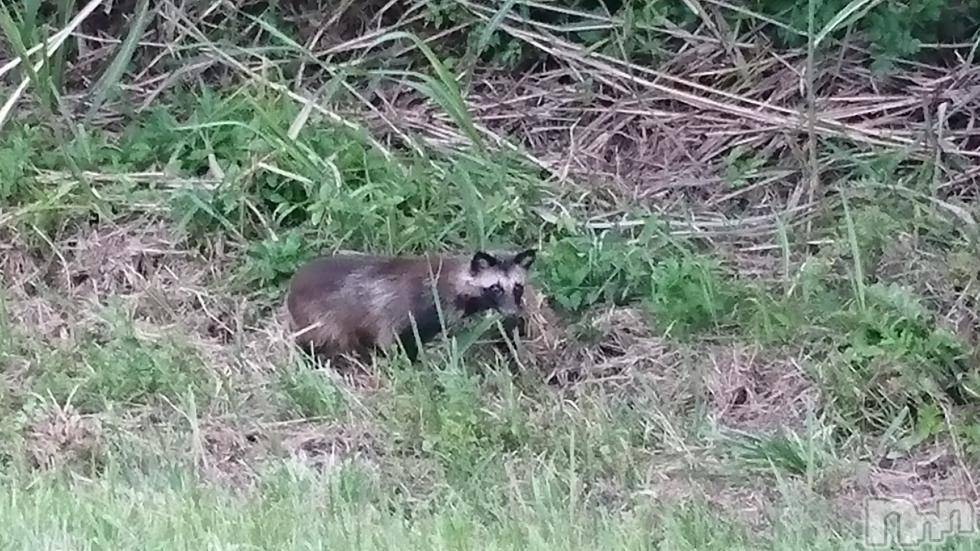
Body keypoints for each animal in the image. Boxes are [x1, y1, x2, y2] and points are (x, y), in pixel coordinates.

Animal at [286, 248, 536, 360]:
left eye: (518, 287)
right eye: (495, 287)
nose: (513, 313)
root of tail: (294, 283)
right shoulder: (404, 312)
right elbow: (393, 343)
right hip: (318, 319)